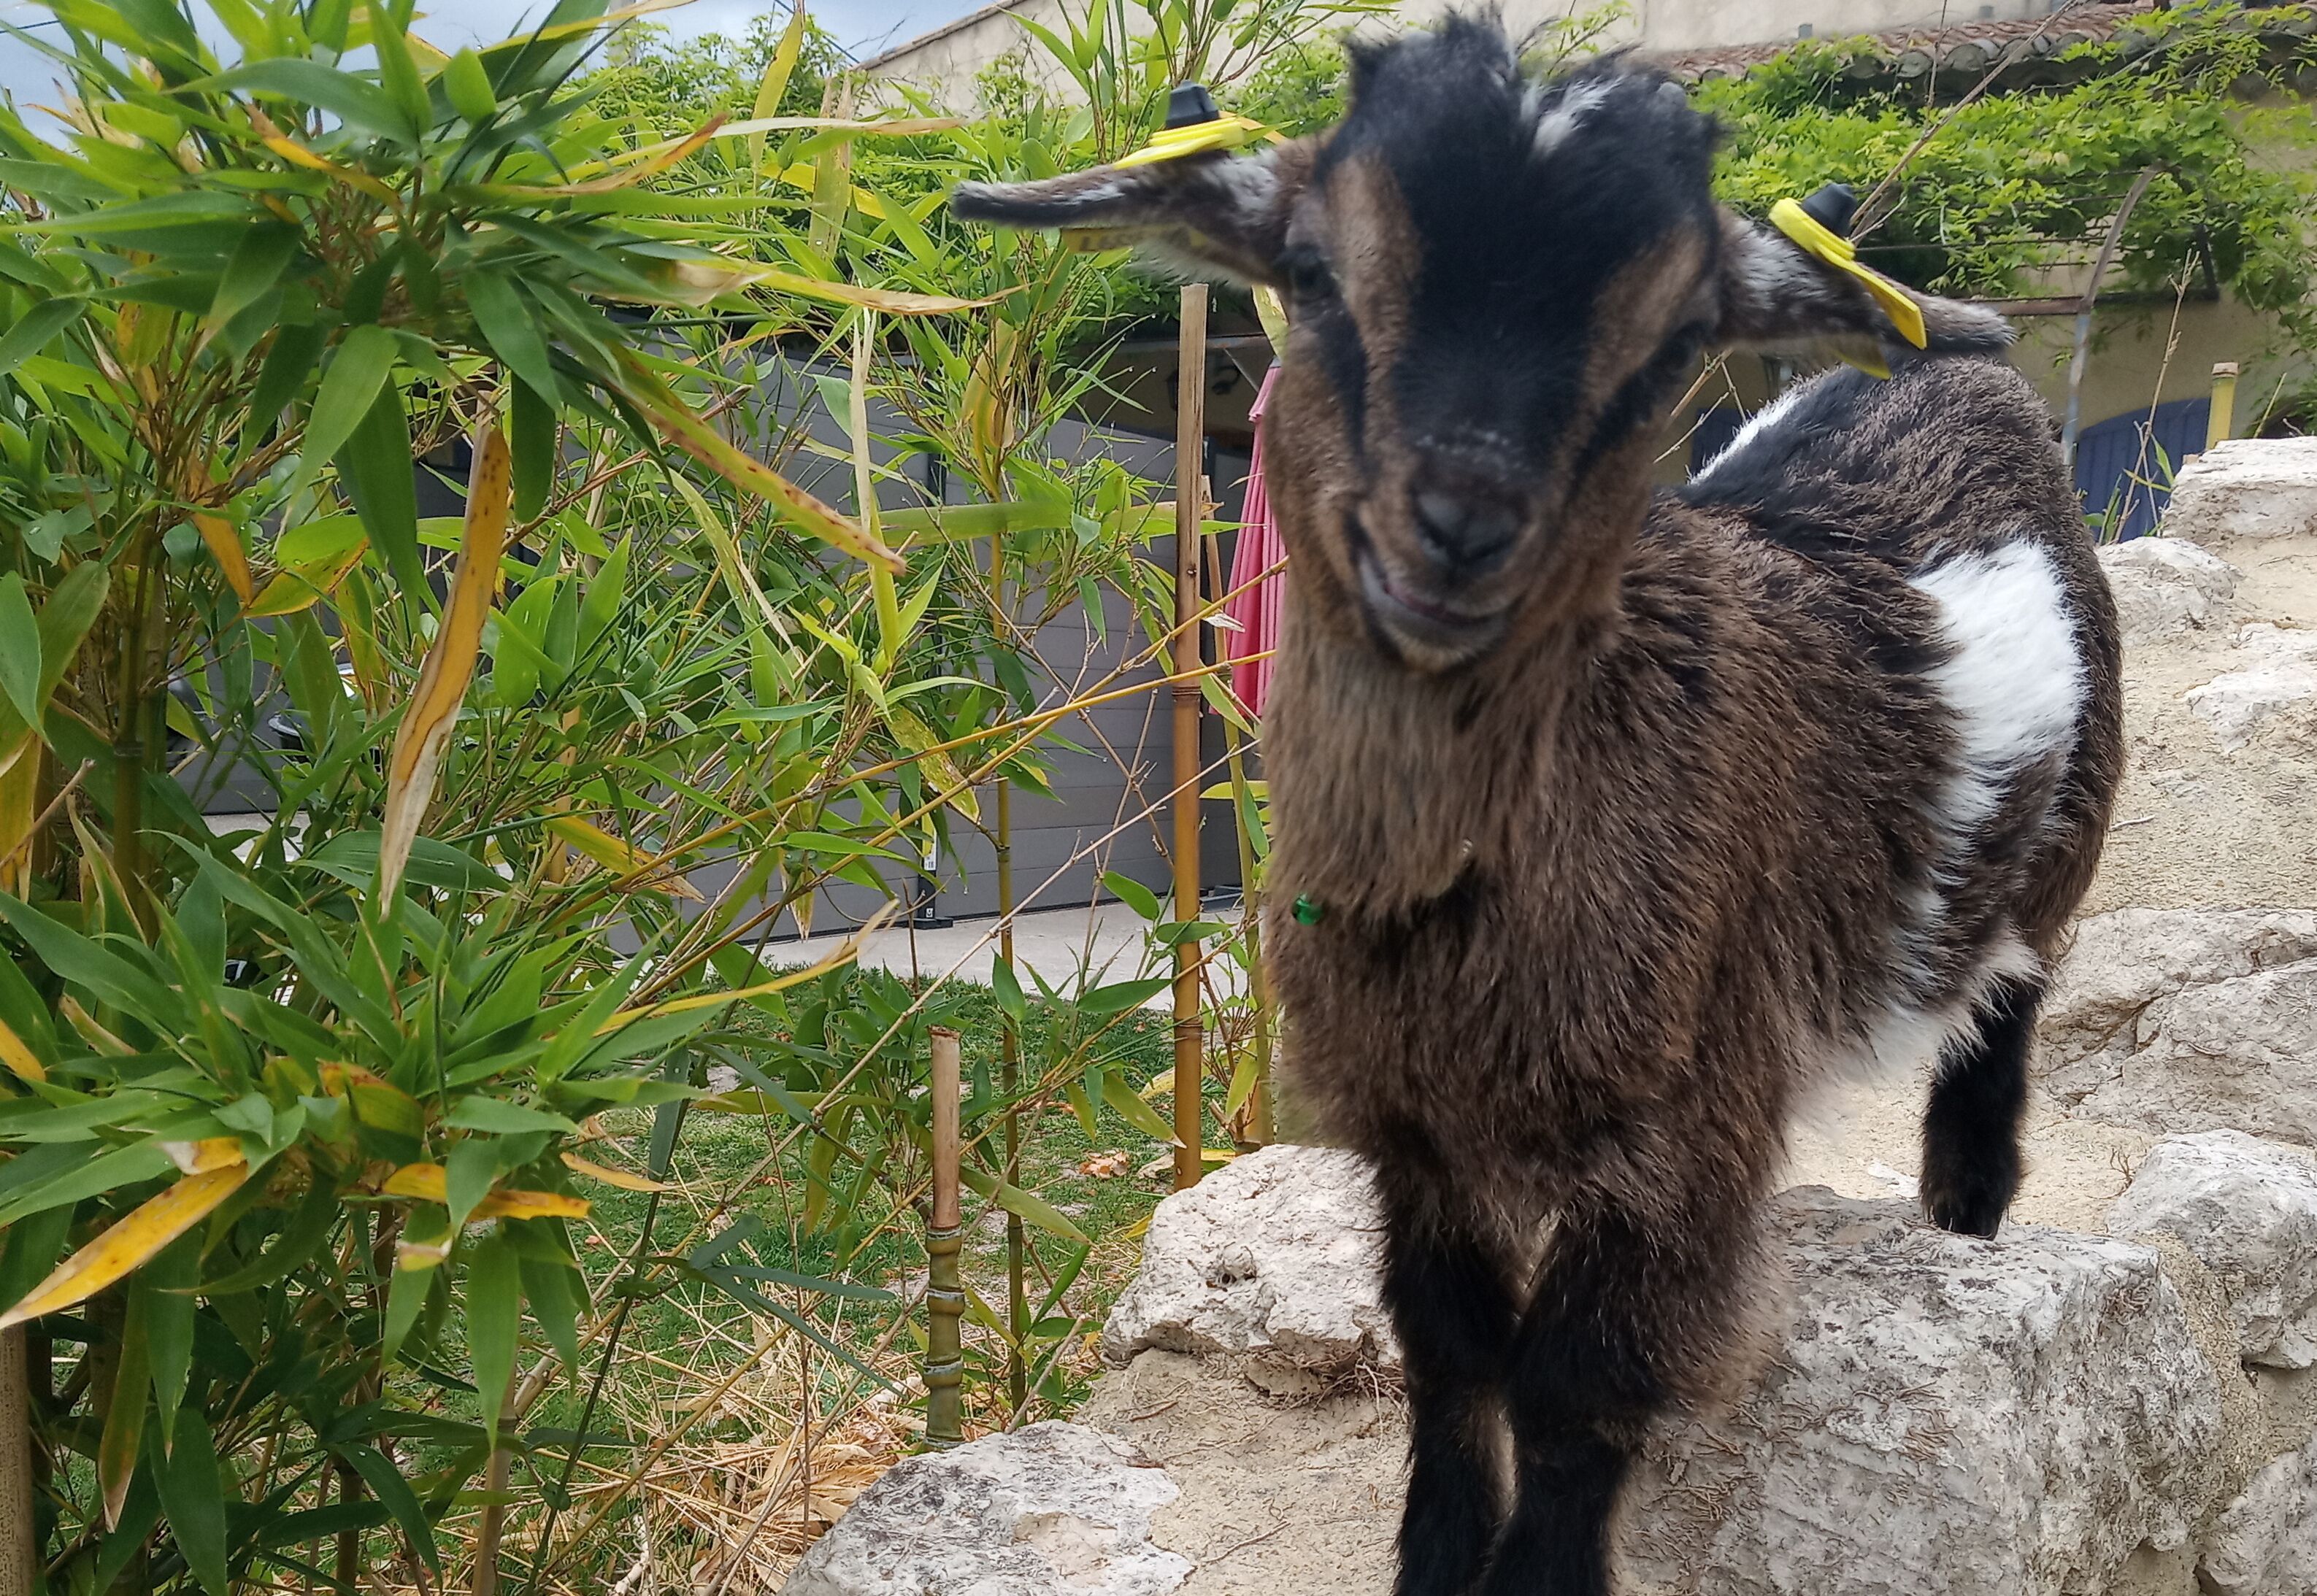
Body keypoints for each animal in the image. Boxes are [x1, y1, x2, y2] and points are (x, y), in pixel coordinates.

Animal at [955, 19, 2122, 1595]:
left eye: (1677, 340)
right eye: (1309, 269)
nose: (1458, 527)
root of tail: (1950, 385)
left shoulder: (1679, 1130)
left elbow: (1578, 1386)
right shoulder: (1411, 1129)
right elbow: (1452, 1354)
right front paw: (1434, 1561)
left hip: (2049, 863)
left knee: (2000, 1028)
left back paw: (1966, 1215)